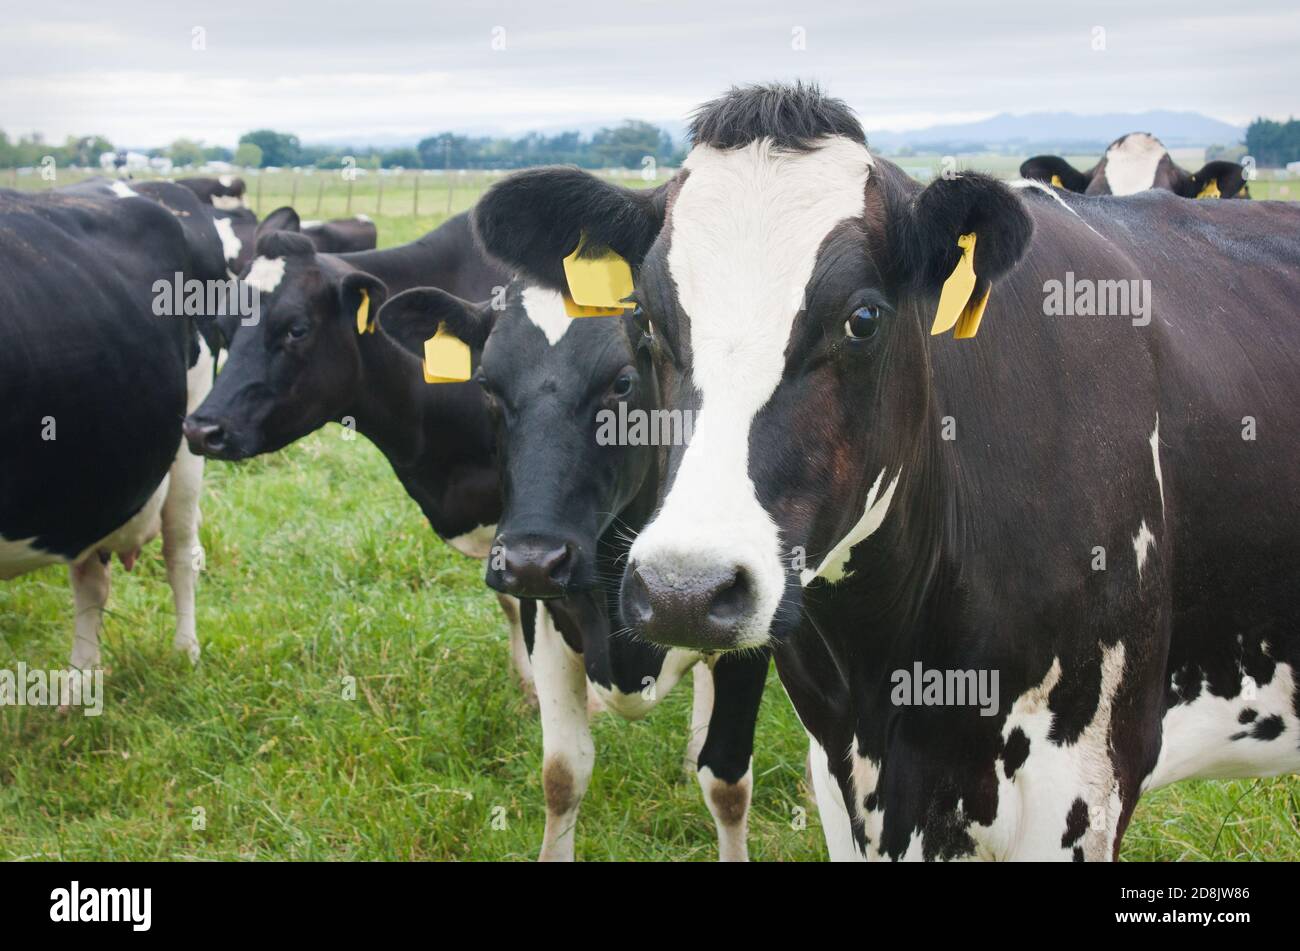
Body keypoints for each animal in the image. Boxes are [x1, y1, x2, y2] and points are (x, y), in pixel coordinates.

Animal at [379, 276, 769, 862]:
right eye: (486, 384)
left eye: (623, 381)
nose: (531, 560)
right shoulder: (543, 614)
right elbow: (562, 774)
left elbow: (726, 784)